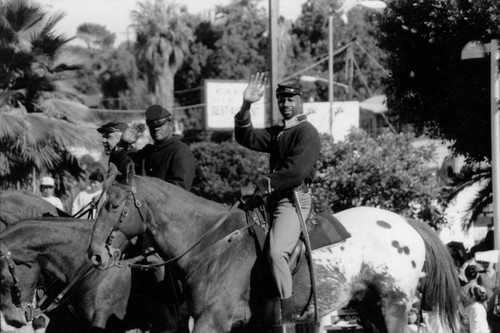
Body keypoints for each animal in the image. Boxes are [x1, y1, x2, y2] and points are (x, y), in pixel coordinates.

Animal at [87, 163, 460, 332]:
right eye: (97, 204)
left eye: (113, 205)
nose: (95, 254)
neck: (211, 242)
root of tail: (405, 223)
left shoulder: (212, 320)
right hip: (369, 308)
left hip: (393, 305)